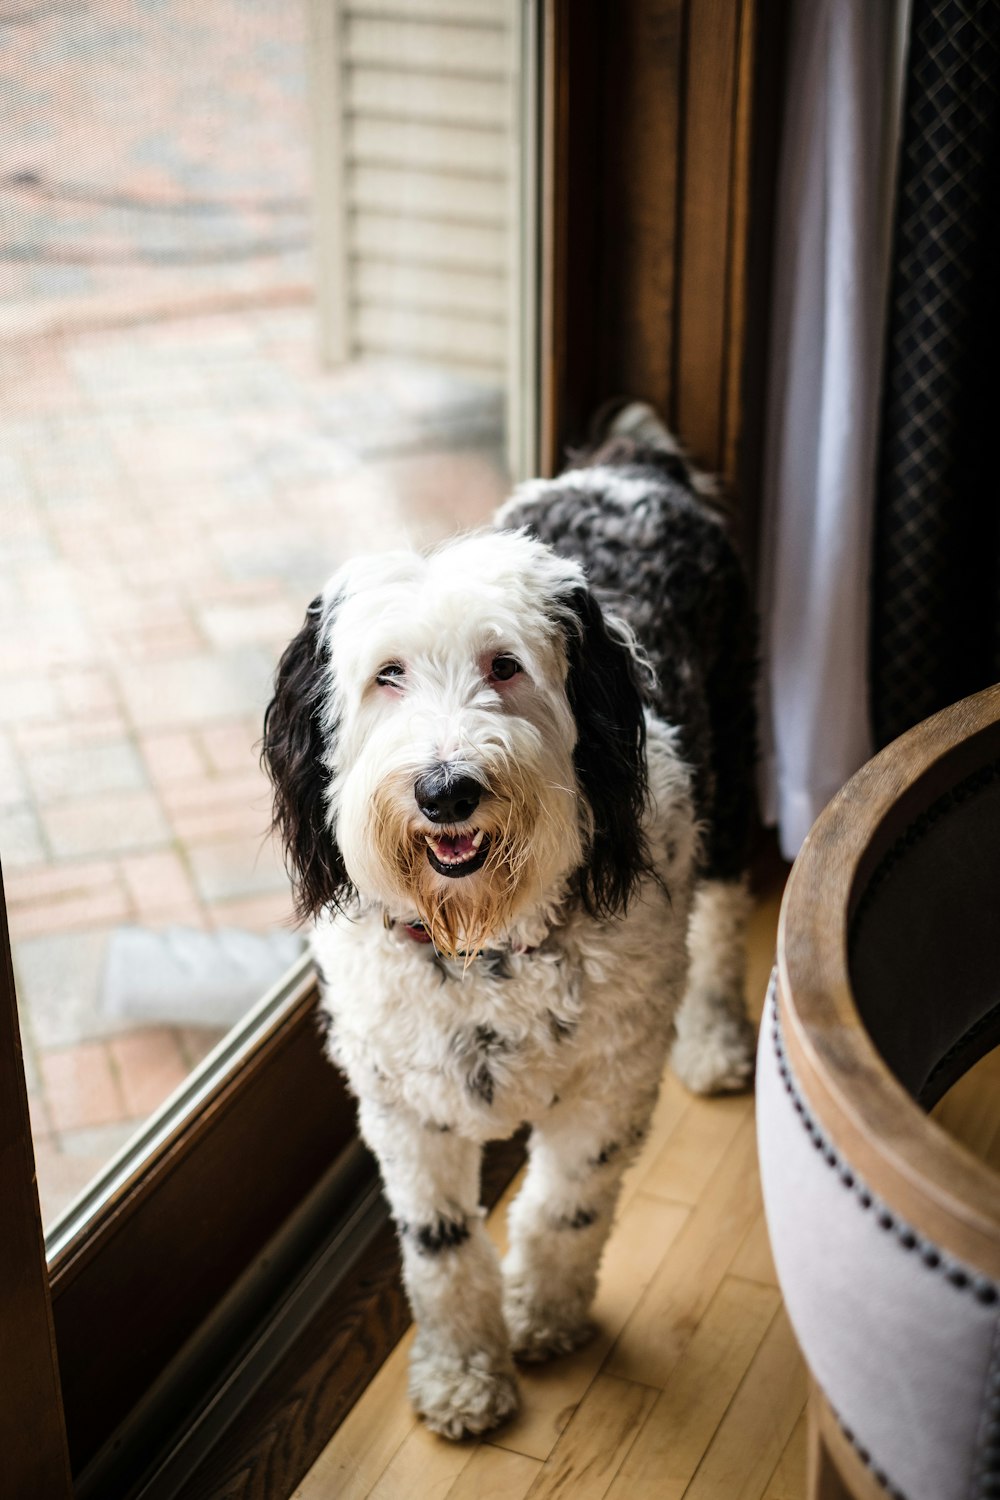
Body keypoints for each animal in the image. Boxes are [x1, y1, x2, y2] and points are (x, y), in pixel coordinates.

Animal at [262, 405, 755, 1434]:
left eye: (506, 666)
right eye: (388, 676)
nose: (447, 790)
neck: (481, 947)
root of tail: (632, 462)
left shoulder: (608, 1087)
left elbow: (565, 1210)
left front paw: (544, 1315)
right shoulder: (405, 1111)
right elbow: (441, 1252)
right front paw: (463, 1374)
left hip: (736, 747)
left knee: (730, 909)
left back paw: (718, 1039)